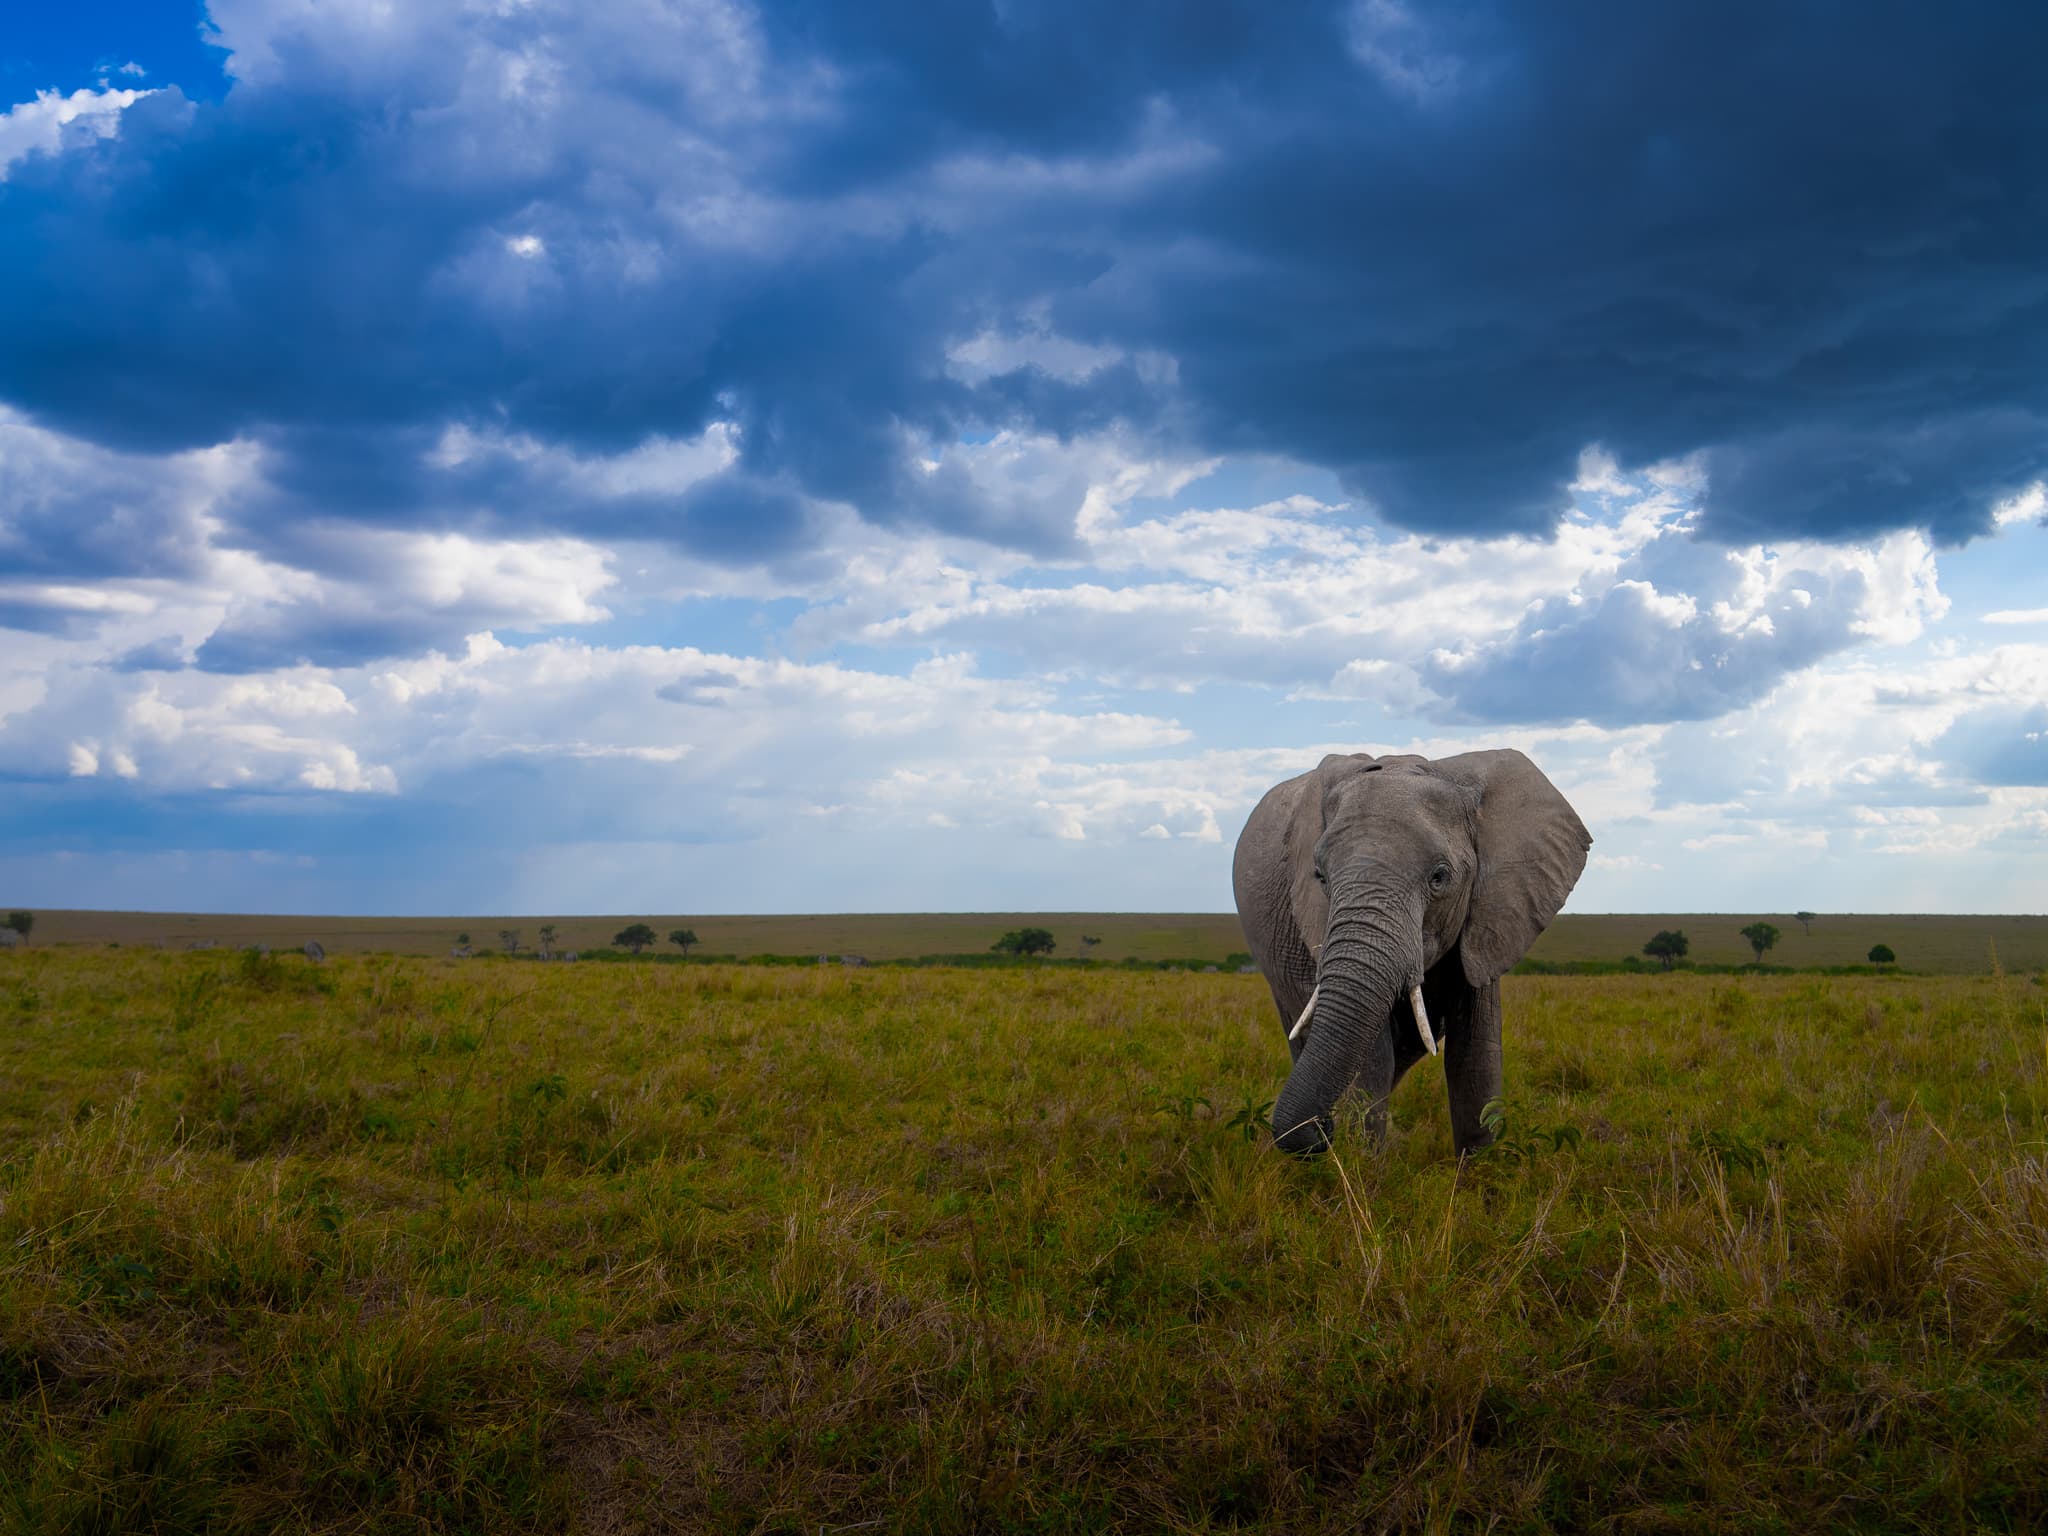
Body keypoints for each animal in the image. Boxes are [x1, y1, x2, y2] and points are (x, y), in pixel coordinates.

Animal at [1232, 749, 1590, 1157]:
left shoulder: (1490, 915)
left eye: (1440, 877)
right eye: (1319, 876)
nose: (1323, 1128)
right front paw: (1363, 1168)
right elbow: (1373, 1062)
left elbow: (1476, 1056)